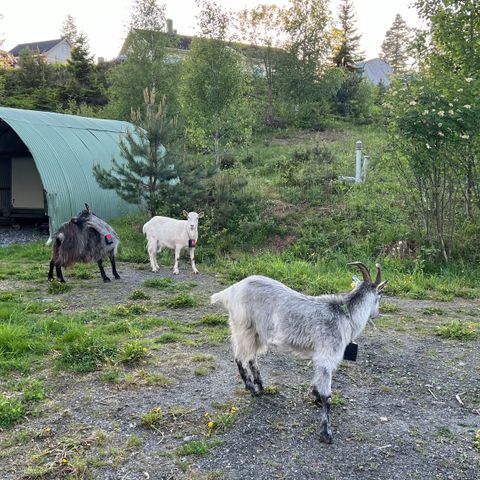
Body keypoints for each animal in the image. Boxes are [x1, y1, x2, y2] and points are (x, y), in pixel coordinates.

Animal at [210, 262, 386, 442]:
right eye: (380, 295)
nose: (376, 314)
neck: (345, 315)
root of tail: (231, 290)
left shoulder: (320, 357)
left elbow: (317, 380)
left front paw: (315, 395)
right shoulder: (326, 356)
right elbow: (327, 396)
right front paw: (326, 432)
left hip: (257, 332)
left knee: (252, 357)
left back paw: (260, 384)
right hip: (243, 326)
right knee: (240, 356)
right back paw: (252, 388)